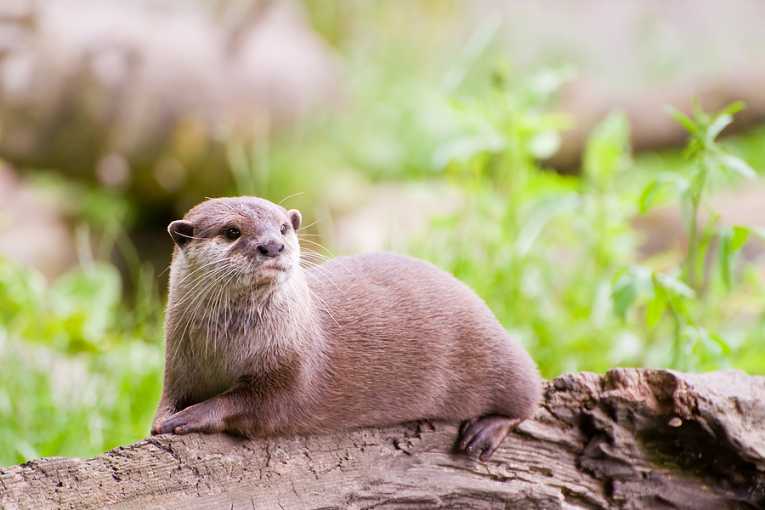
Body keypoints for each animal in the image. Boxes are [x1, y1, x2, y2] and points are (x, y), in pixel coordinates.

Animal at [152, 196, 542, 461]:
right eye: (232, 231)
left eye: (283, 227)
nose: (273, 245)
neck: (224, 350)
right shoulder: (178, 364)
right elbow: (169, 396)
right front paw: (163, 418)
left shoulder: (292, 370)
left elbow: (251, 403)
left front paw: (190, 417)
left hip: (495, 353)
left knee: (529, 392)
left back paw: (483, 432)